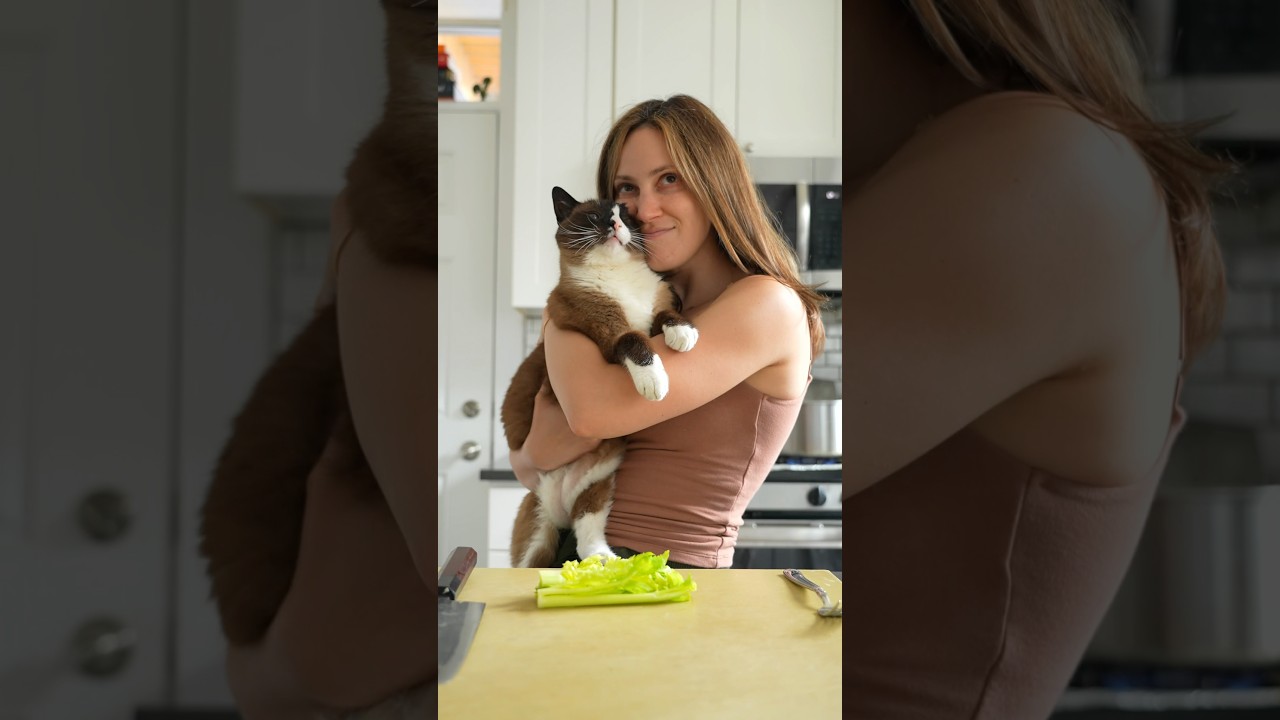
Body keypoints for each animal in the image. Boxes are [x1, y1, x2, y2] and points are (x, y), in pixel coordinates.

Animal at [500, 186, 698, 569]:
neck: (619, 280)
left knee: (586, 531)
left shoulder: (659, 307)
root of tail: (560, 506)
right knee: (533, 559)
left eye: (629, 217)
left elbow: (666, 315)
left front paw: (683, 334)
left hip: (599, 484)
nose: (615, 225)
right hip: (537, 531)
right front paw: (655, 382)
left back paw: (605, 559)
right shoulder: (607, 332)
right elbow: (635, 340)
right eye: (595, 217)